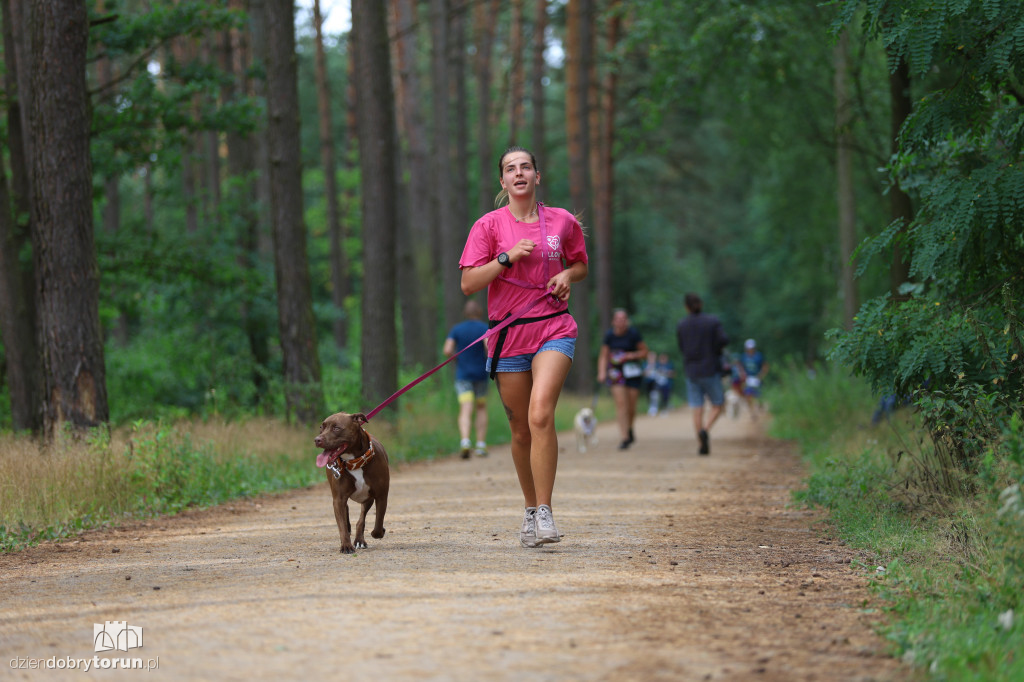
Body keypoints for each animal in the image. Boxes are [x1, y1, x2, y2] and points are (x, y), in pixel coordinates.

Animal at [311, 409, 387, 552]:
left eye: (336, 428)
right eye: (321, 427)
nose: (317, 440)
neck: (354, 461)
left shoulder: (381, 495)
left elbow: (378, 522)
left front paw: (377, 532)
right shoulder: (339, 499)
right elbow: (342, 525)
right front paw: (346, 545)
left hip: (367, 500)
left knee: (361, 520)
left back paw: (360, 540)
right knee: (347, 518)